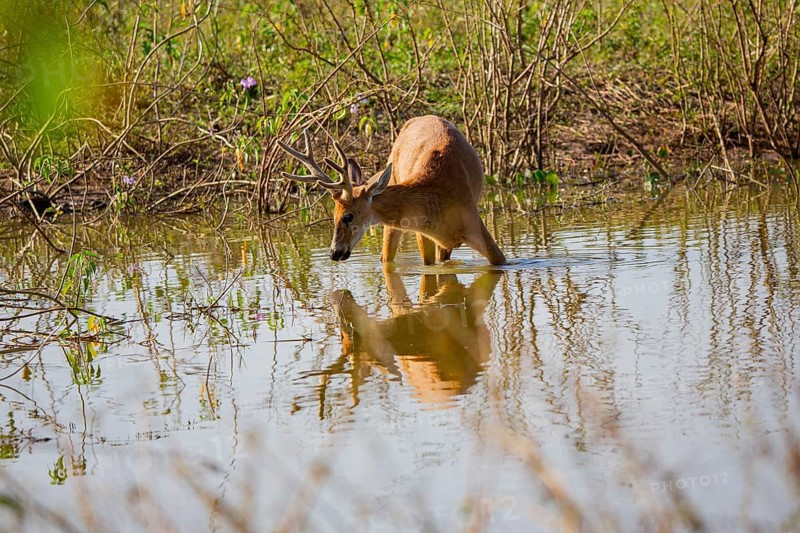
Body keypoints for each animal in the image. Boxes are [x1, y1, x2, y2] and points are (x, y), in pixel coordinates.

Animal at [277, 115, 506, 266]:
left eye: (348, 216)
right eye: (333, 216)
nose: (334, 253)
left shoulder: (475, 223)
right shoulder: (423, 235)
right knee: (386, 258)